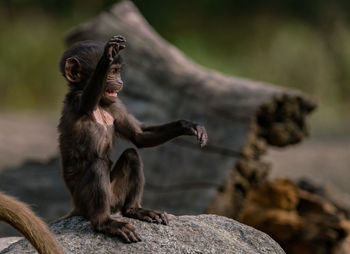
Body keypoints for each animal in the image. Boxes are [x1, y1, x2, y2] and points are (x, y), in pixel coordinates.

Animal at [57, 34, 208, 243]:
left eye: (118, 71)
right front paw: (107, 55)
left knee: (131, 156)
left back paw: (134, 210)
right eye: (112, 72)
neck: (100, 106)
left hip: (114, 195)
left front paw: (188, 126)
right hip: (84, 201)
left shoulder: (115, 105)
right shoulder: (77, 101)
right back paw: (105, 223)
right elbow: (87, 99)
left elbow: (139, 136)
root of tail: (75, 207)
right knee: (98, 166)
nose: (120, 81)